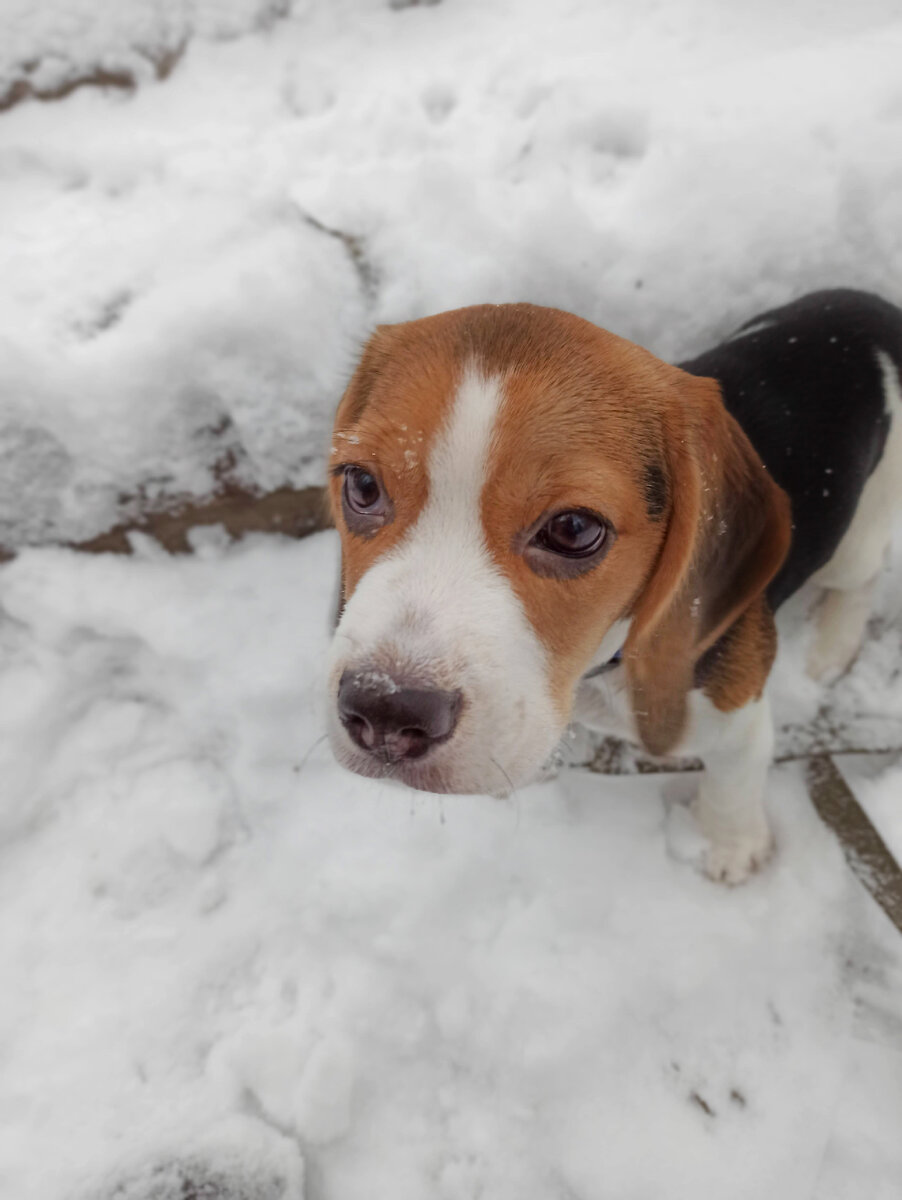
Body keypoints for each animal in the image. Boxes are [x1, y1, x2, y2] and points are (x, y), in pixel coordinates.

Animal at [326, 290, 902, 883]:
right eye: (362, 486)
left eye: (573, 529)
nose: (385, 711)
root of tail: (869, 305)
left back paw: (831, 648)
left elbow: (734, 779)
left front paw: (730, 848)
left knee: (866, 571)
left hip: (858, 533)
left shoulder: (735, 715)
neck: (594, 677)